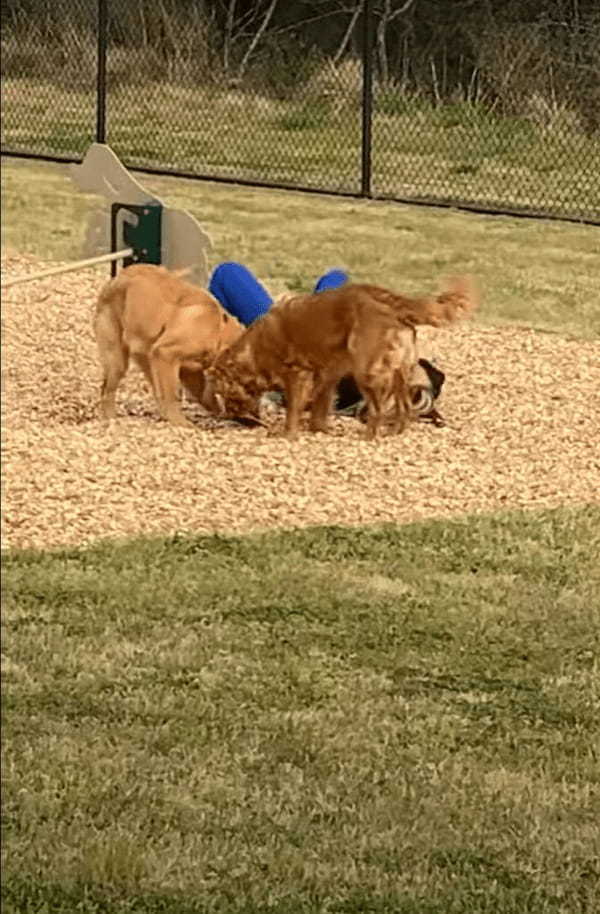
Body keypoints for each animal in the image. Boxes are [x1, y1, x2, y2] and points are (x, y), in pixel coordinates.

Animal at [94, 260, 244, 424]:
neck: (218, 330)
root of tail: (115, 279)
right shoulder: (166, 354)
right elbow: (172, 394)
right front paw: (180, 422)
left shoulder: (189, 370)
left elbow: (204, 395)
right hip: (118, 361)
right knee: (107, 391)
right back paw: (111, 419)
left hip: (146, 358)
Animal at [204, 274, 480, 438]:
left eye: (229, 397)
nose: (237, 419)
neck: (254, 349)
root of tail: (392, 302)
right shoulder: (328, 374)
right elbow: (321, 405)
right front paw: (318, 429)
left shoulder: (297, 373)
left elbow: (294, 408)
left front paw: (288, 434)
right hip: (402, 372)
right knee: (402, 408)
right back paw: (394, 433)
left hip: (366, 371)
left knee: (377, 410)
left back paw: (368, 437)